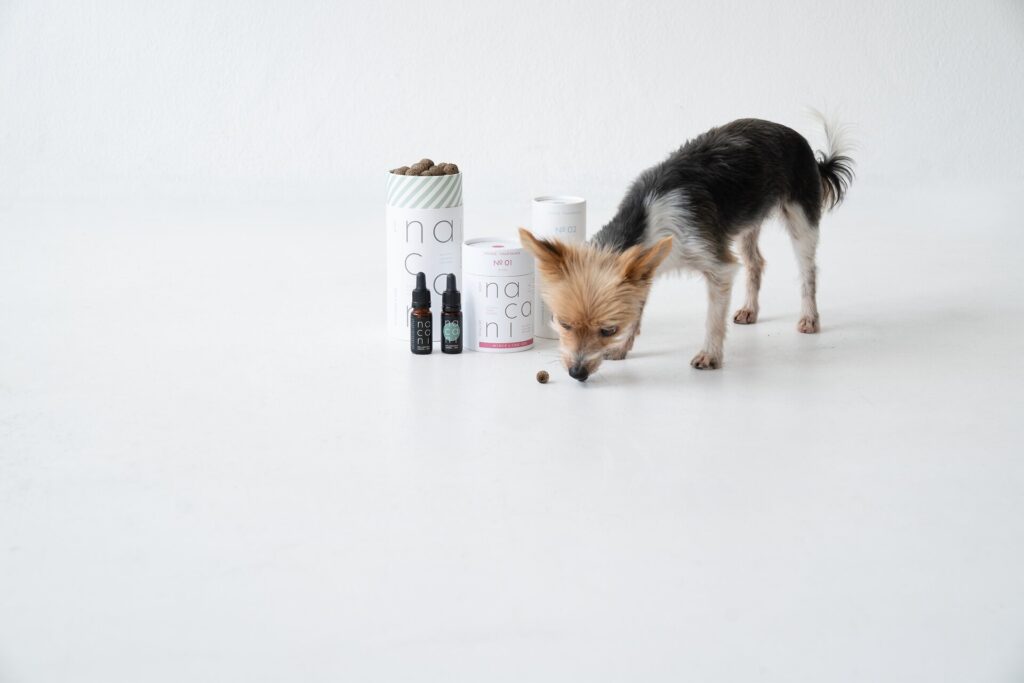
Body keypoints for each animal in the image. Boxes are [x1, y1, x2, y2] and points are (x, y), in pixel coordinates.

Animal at [519, 116, 854, 381]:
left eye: (608, 330)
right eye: (563, 323)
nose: (577, 373)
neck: (647, 218)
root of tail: (798, 138)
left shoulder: (717, 264)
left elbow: (713, 318)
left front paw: (710, 355)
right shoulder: (647, 267)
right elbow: (638, 309)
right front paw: (624, 348)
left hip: (800, 215)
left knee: (808, 269)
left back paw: (809, 318)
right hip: (748, 218)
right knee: (756, 262)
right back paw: (750, 310)